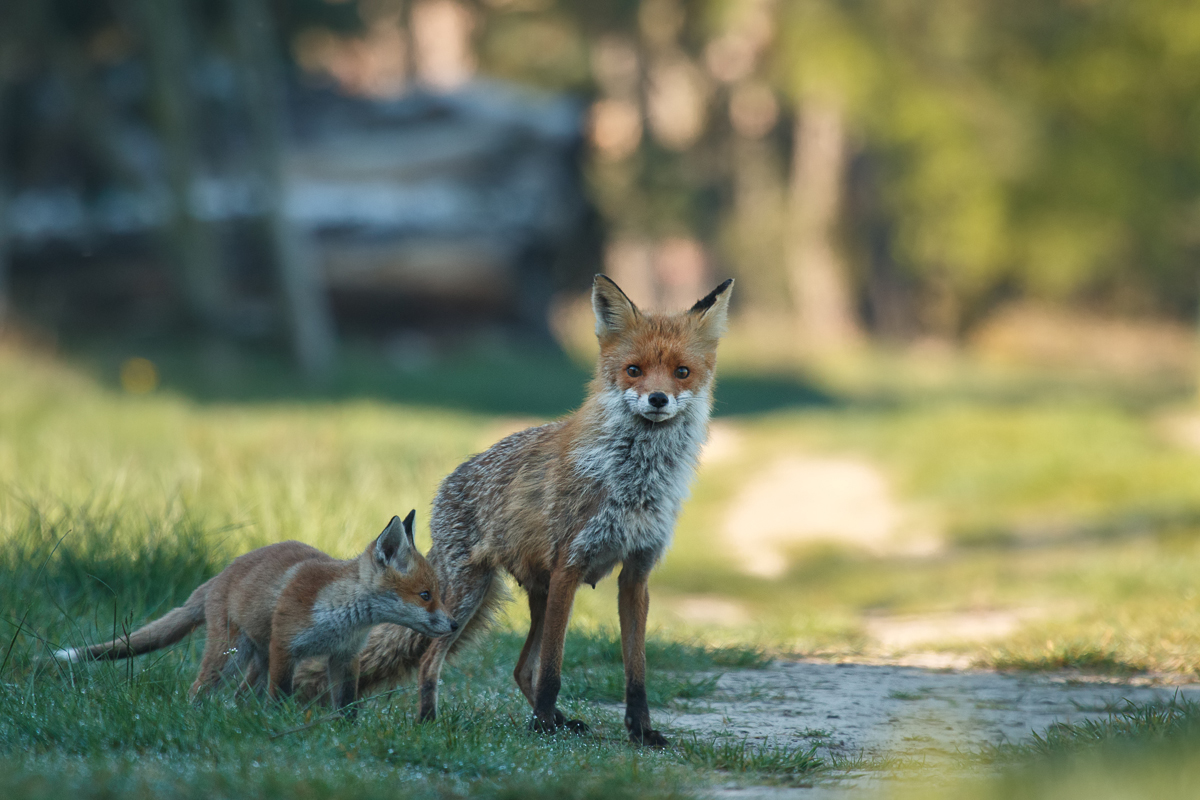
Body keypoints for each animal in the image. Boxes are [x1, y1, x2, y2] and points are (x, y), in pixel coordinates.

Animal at [51, 515, 456, 714]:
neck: (342, 614)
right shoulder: (285, 647)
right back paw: (196, 716)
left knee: (240, 697)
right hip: (231, 655)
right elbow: (281, 696)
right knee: (199, 690)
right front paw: (278, 726)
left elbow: (346, 703)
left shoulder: (344, 656)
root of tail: (219, 576)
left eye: (438, 595)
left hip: (256, 662)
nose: (453, 624)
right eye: (425, 595)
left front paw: (345, 731)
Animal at [297, 275, 729, 743]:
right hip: (467, 599)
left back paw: (558, 722)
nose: (657, 399)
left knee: (521, 669)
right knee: (435, 661)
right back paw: (433, 722)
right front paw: (541, 728)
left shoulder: (636, 574)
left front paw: (641, 733)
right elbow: (554, 670)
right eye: (634, 370)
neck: (635, 481)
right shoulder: (569, 565)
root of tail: (448, 482)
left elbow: (636, 670)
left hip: (533, 595)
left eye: (682, 372)